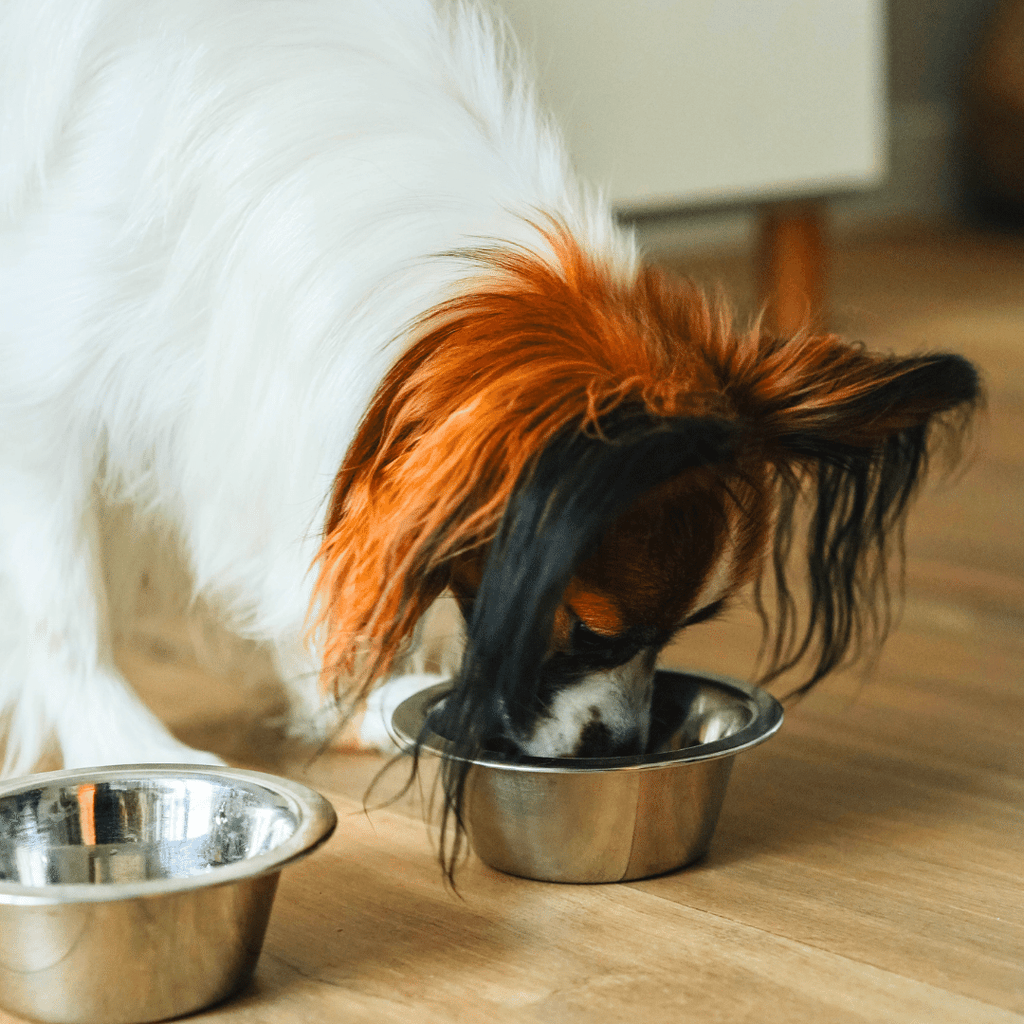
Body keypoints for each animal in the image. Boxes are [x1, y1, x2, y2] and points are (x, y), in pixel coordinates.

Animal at [0, 0, 974, 864]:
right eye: (589, 632)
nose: (622, 748)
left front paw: (351, 702)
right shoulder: (43, 397)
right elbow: (65, 612)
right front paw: (125, 745)